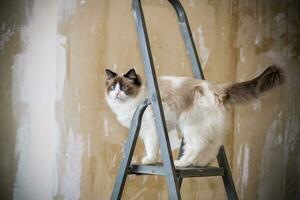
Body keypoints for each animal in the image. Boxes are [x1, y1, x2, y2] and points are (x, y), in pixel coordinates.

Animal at [104, 65, 284, 167]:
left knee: (196, 147)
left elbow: (151, 148)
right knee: (212, 147)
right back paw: (201, 164)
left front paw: (149, 160)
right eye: (113, 87)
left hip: (190, 126)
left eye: (124, 88)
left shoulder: (150, 130)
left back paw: (182, 163)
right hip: (210, 130)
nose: (117, 94)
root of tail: (219, 90)